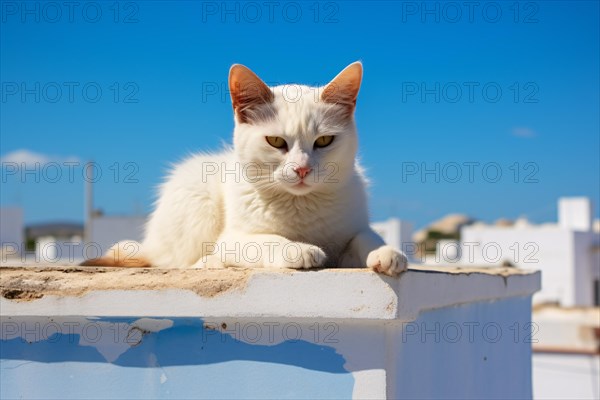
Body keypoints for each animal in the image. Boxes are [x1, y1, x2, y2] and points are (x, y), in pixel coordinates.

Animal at [83, 61, 408, 276]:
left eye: (325, 141)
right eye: (276, 141)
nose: (302, 170)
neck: (301, 206)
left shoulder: (355, 228)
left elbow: (366, 238)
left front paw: (387, 253)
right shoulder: (232, 238)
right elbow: (267, 240)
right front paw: (299, 248)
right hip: (196, 200)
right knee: (179, 262)